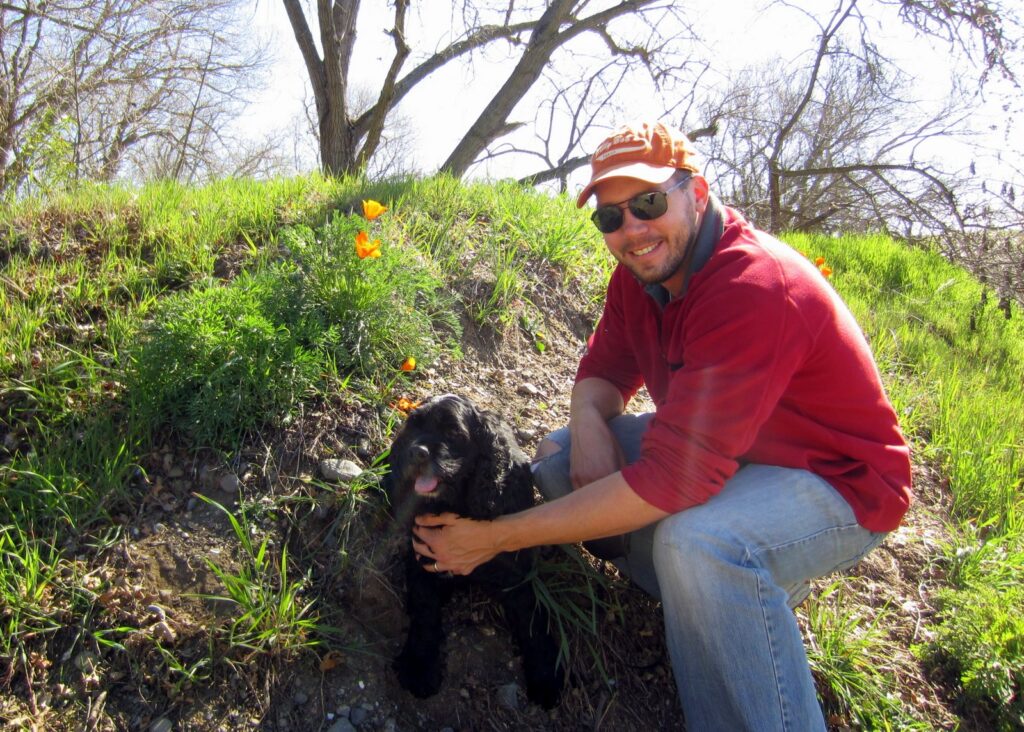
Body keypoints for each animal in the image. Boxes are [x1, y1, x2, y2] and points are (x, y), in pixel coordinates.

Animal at [385, 395, 565, 708]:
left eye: (453, 432)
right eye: (414, 426)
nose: (416, 452)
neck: (459, 504)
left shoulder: (517, 579)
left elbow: (534, 623)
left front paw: (546, 677)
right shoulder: (424, 563)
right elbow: (424, 612)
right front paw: (419, 667)